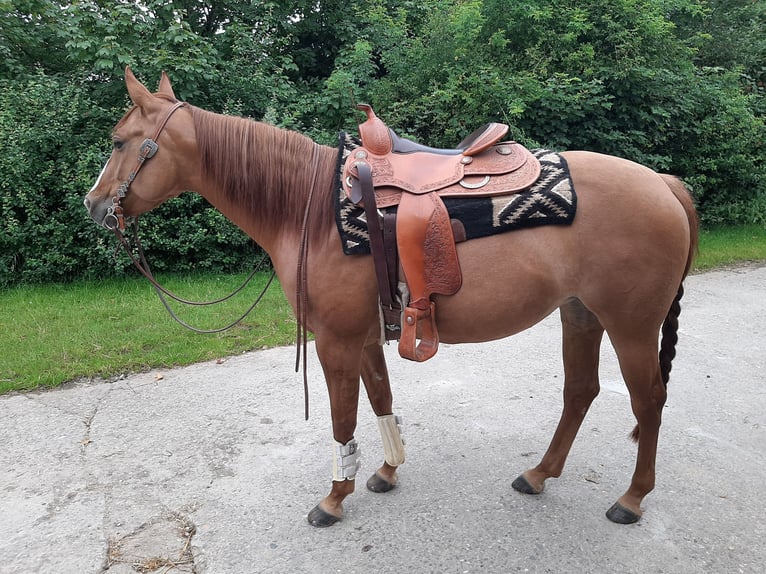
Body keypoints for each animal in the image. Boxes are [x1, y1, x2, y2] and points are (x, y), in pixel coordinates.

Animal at [84, 68, 704, 532]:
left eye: (118, 142)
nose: (93, 204)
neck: (309, 208)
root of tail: (664, 183)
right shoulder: (363, 337)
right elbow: (380, 398)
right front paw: (386, 470)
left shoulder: (334, 341)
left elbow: (341, 418)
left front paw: (334, 497)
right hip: (580, 314)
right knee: (581, 393)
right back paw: (537, 475)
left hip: (630, 323)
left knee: (648, 400)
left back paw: (632, 499)